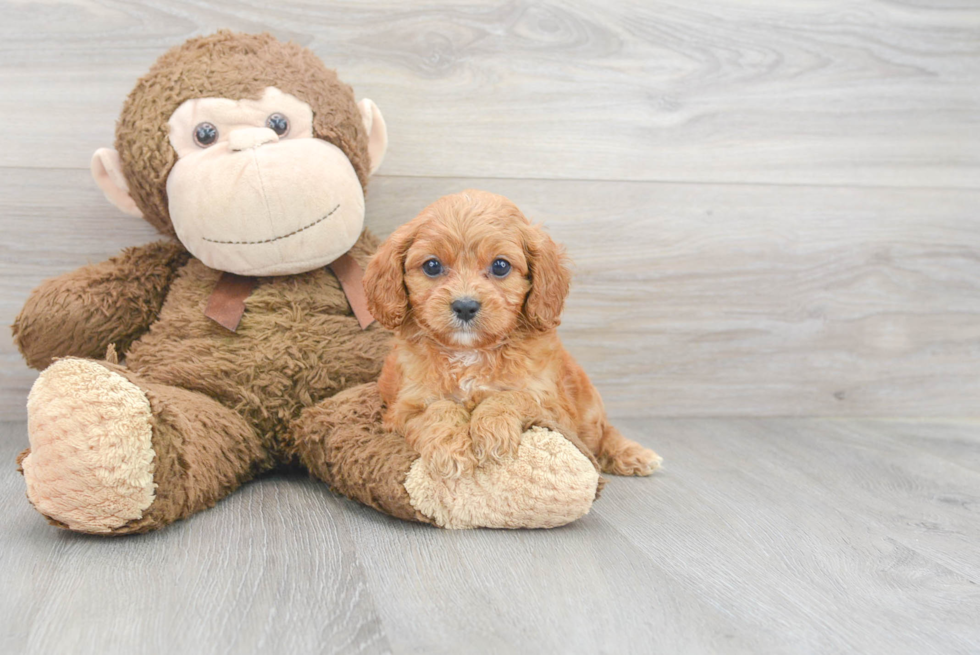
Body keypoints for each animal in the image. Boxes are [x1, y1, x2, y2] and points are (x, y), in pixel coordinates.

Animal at [364, 192, 664, 480]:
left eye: (500, 266)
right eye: (432, 266)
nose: (465, 306)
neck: (471, 353)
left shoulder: (553, 408)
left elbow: (510, 397)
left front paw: (493, 431)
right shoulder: (403, 408)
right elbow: (439, 410)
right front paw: (449, 450)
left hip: (590, 409)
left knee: (604, 434)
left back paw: (634, 454)